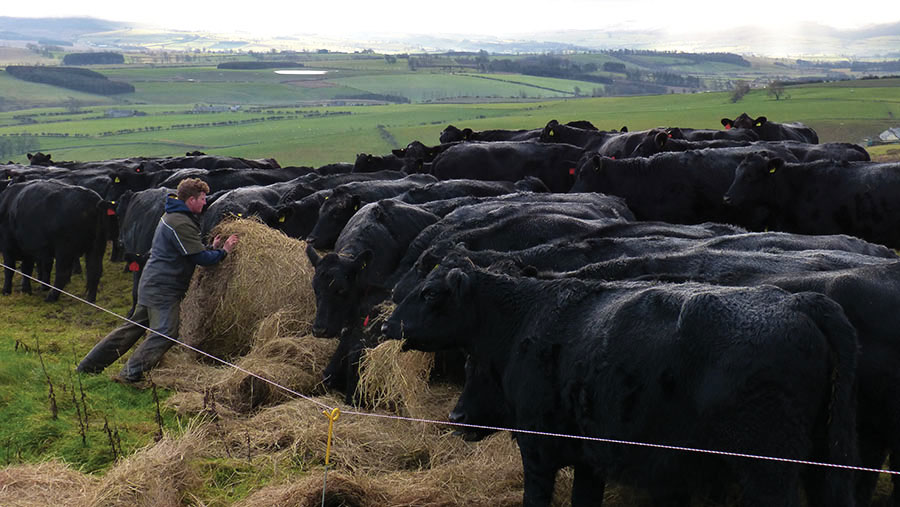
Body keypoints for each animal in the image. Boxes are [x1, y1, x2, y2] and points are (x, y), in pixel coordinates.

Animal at [384, 256, 856, 507]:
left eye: (429, 294)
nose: (387, 324)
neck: (525, 318)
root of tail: (799, 301)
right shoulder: (591, 458)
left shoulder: (538, 449)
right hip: (822, 459)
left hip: (768, 468)